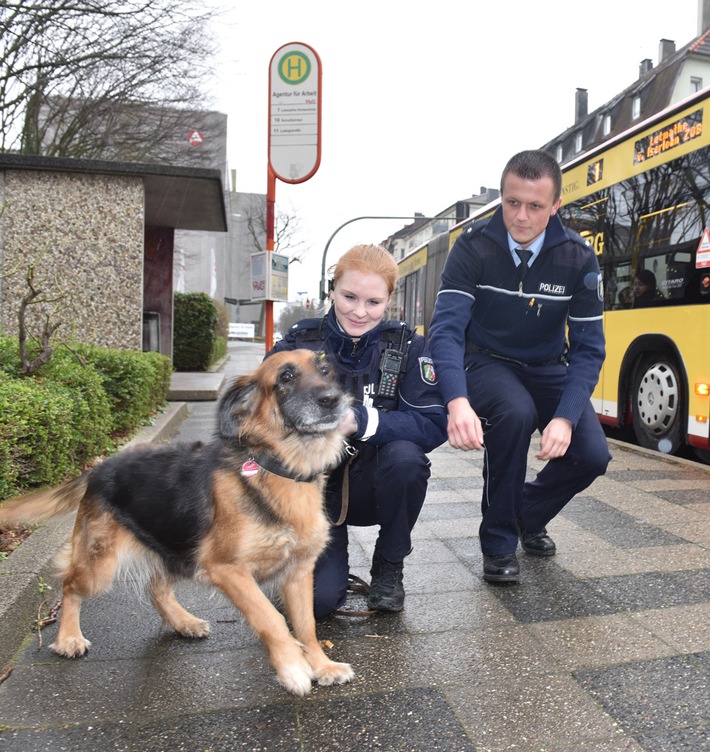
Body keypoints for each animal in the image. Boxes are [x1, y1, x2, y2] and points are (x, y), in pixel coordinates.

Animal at [0, 350, 356, 696]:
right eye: (286, 376)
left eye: (326, 370)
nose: (333, 399)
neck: (281, 468)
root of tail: (100, 467)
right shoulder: (227, 569)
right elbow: (271, 619)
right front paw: (293, 667)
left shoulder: (299, 572)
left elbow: (307, 626)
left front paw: (322, 665)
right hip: (101, 565)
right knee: (71, 585)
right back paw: (68, 638)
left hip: (178, 549)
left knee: (155, 587)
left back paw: (183, 622)